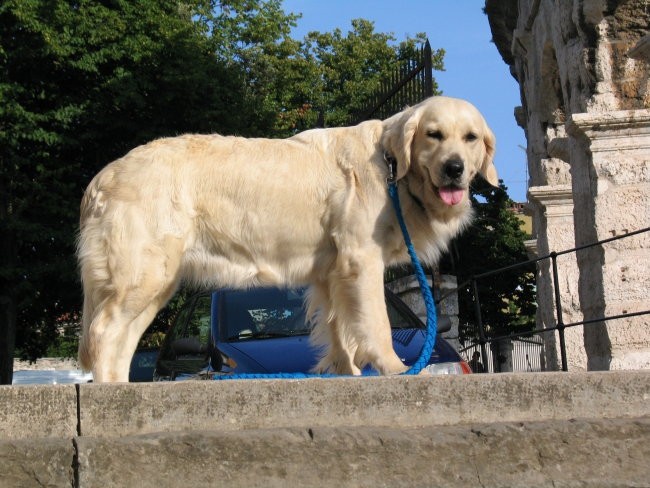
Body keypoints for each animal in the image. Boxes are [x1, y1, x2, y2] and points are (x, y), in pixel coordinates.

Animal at [77, 97, 496, 384]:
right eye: (433, 135)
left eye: (470, 138)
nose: (454, 168)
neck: (390, 163)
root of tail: (104, 175)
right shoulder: (361, 260)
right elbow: (374, 324)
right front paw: (395, 368)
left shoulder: (333, 272)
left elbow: (339, 329)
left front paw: (346, 371)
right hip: (146, 273)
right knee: (104, 333)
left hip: (154, 281)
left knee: (121, 339)